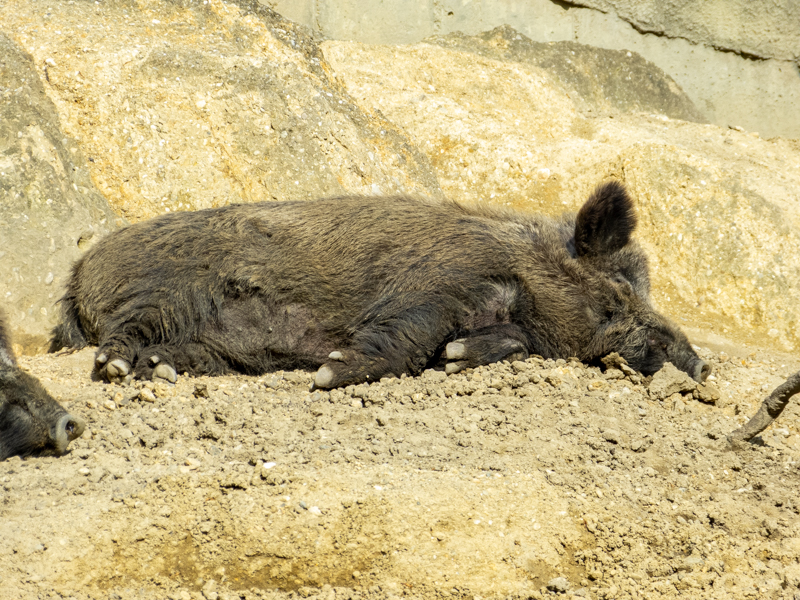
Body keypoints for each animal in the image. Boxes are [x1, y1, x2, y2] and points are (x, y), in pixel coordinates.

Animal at [50, 181, 710, 388]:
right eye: (617, 294)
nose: (702, 364)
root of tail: (80, 272)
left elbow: (501, 345)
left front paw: (455, 357)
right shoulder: (437, 278)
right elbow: (411, 330)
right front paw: (330, 372)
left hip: (220, 343)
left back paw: (157, 369)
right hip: (162, 290)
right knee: (123, 331)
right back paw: (116, 367)